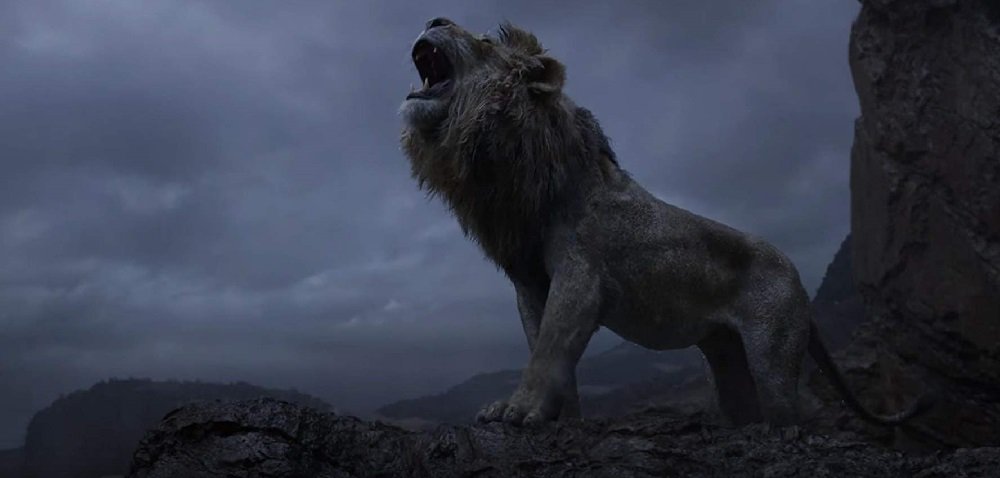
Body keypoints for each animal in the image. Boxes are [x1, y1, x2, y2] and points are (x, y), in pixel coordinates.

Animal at [399, 18, 928, 427]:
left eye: (484, 42)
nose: (434, 18)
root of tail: (798, 278)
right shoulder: (530, 283)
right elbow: (541, 349)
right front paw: (557, 418)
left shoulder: (581, 274)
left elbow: (548, 349)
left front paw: (521, 409)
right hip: (726, 357)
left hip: (772, 353)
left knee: (794, 411)